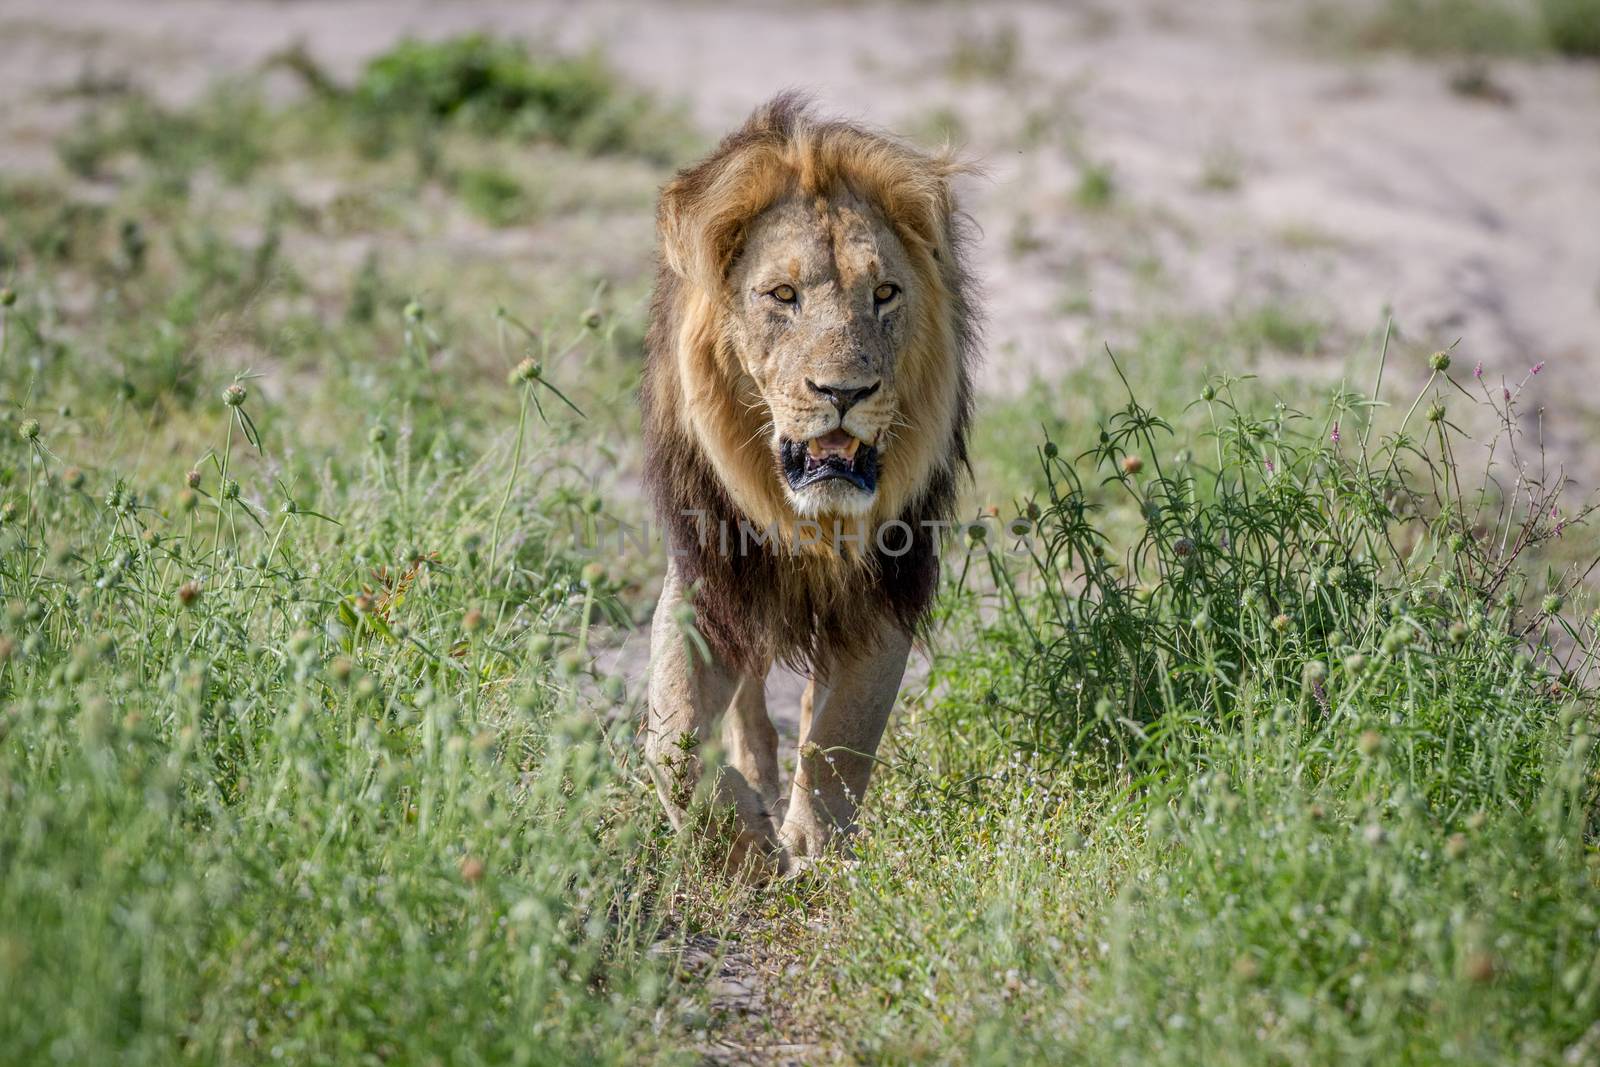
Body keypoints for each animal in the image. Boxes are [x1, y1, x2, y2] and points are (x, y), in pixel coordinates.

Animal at [636, 95, 972, 870]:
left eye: (885, 293)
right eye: (782, 295)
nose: (844, 391)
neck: (811, 518)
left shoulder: (888, 580)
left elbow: (841, 736)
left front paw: (815, 855)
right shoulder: (709, 573)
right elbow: (670, 739)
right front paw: (741, 843)